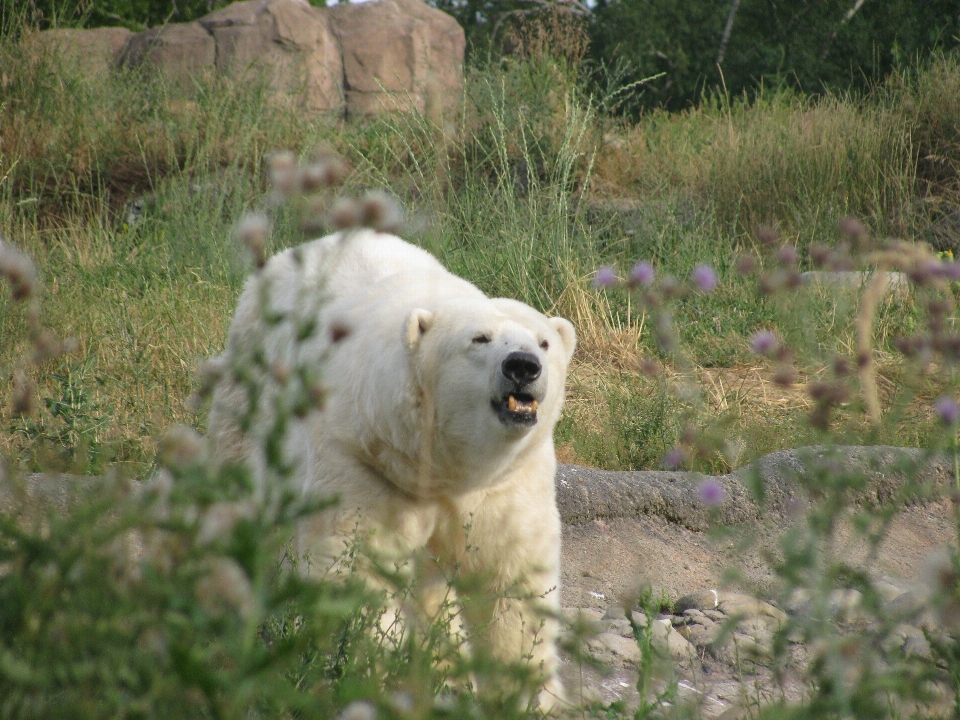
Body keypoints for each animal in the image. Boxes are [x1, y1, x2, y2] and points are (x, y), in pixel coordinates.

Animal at [206, 231, 572, 708]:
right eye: (479, 339)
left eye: (544, 342)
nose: (523, 366)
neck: (442, 464)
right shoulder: (360, 460)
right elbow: (358, 566)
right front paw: (366, 674)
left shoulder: (506, 481)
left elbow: (512, 579)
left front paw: (527, 697)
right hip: (252, 394)